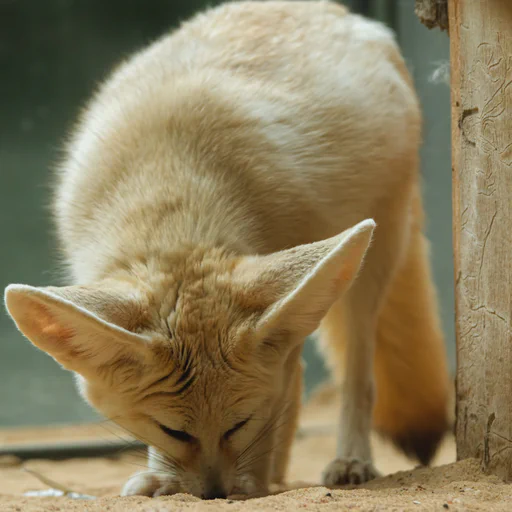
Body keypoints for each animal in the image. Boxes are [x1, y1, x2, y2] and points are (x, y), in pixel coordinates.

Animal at [3, 0, 448, 498]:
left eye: (239, 423)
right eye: (173, 431)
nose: (214, 494)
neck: (170, 191)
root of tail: (335, 12)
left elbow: (280, 405)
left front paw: (254, 480)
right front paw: (165, 476)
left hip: (369, 266)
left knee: (357, 378)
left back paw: (347, 460)